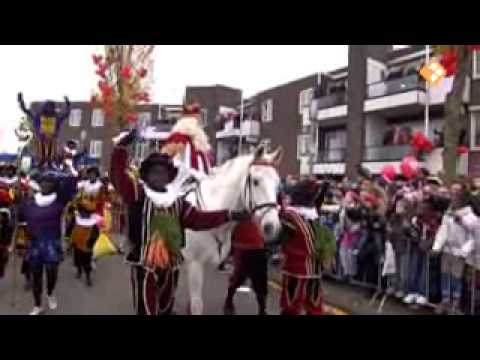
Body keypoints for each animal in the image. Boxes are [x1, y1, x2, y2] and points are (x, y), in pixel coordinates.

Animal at [182, 145, 284, 314]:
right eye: (256, 181)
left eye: (278, 183)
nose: (272, 226)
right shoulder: (195, 265)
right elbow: (196, 305)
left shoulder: (206, 266)